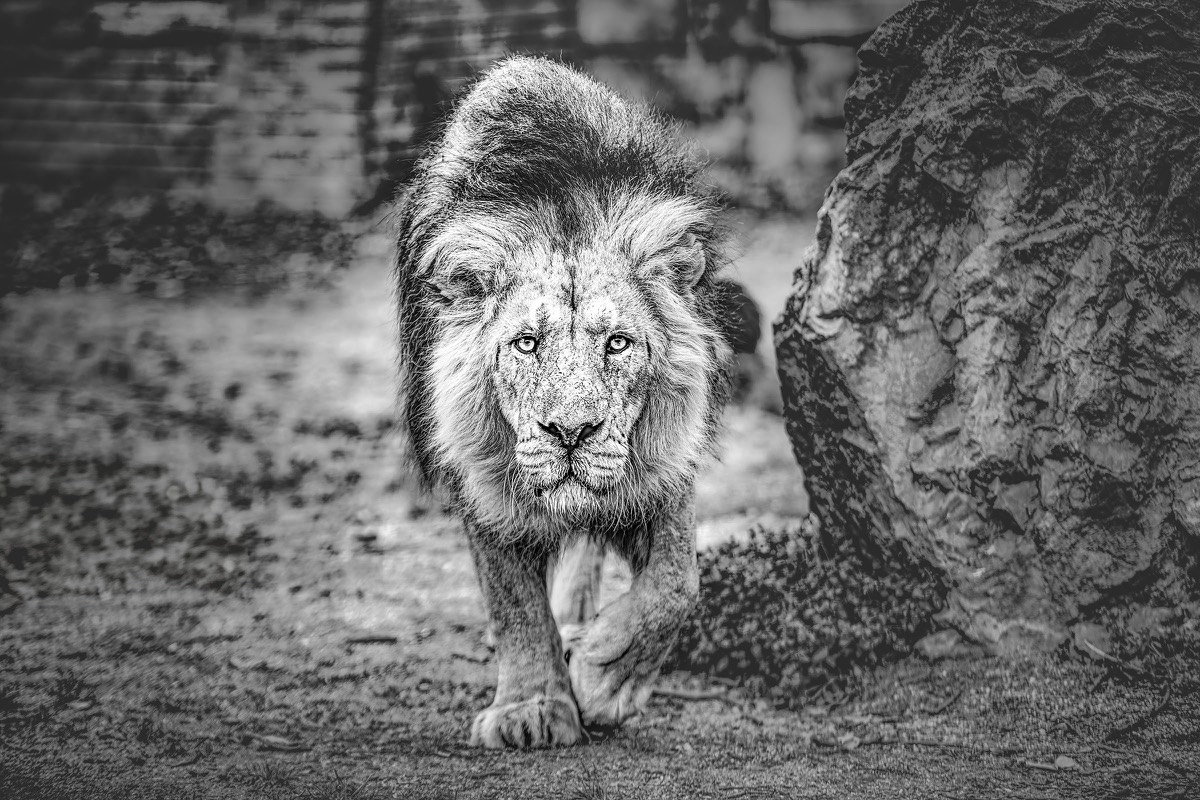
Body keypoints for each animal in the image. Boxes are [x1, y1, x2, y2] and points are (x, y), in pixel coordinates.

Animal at [392, 55, 732, 749]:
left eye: (618, 343)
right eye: (526, 343)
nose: (570, 432)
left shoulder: (663, 467)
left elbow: (676, 585)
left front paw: (605, 680)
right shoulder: (483, 478)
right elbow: (513, 603)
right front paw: (531, 708)